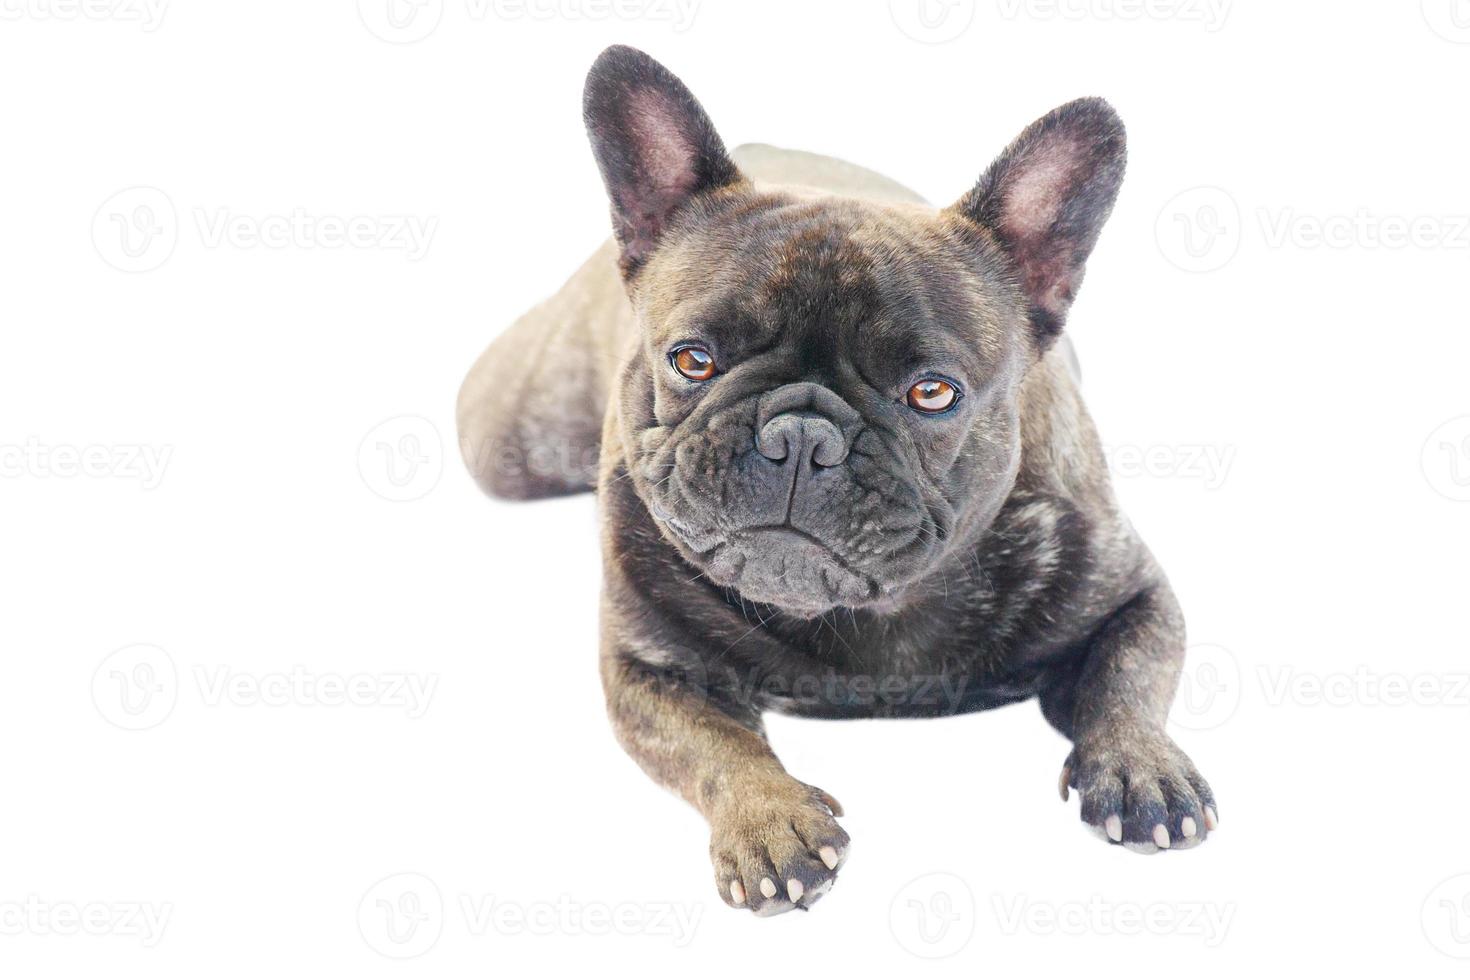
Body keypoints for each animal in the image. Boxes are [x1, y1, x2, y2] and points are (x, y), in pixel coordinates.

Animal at [455, 44, 1217, 922]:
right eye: (692, 359)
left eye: (933, 392)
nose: (800, 437)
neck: (874, 614)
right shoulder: (649, 670)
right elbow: (716, 746)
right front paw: (770, 823)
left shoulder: (1132, 591)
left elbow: (1130, 680)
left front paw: (1141, 767)